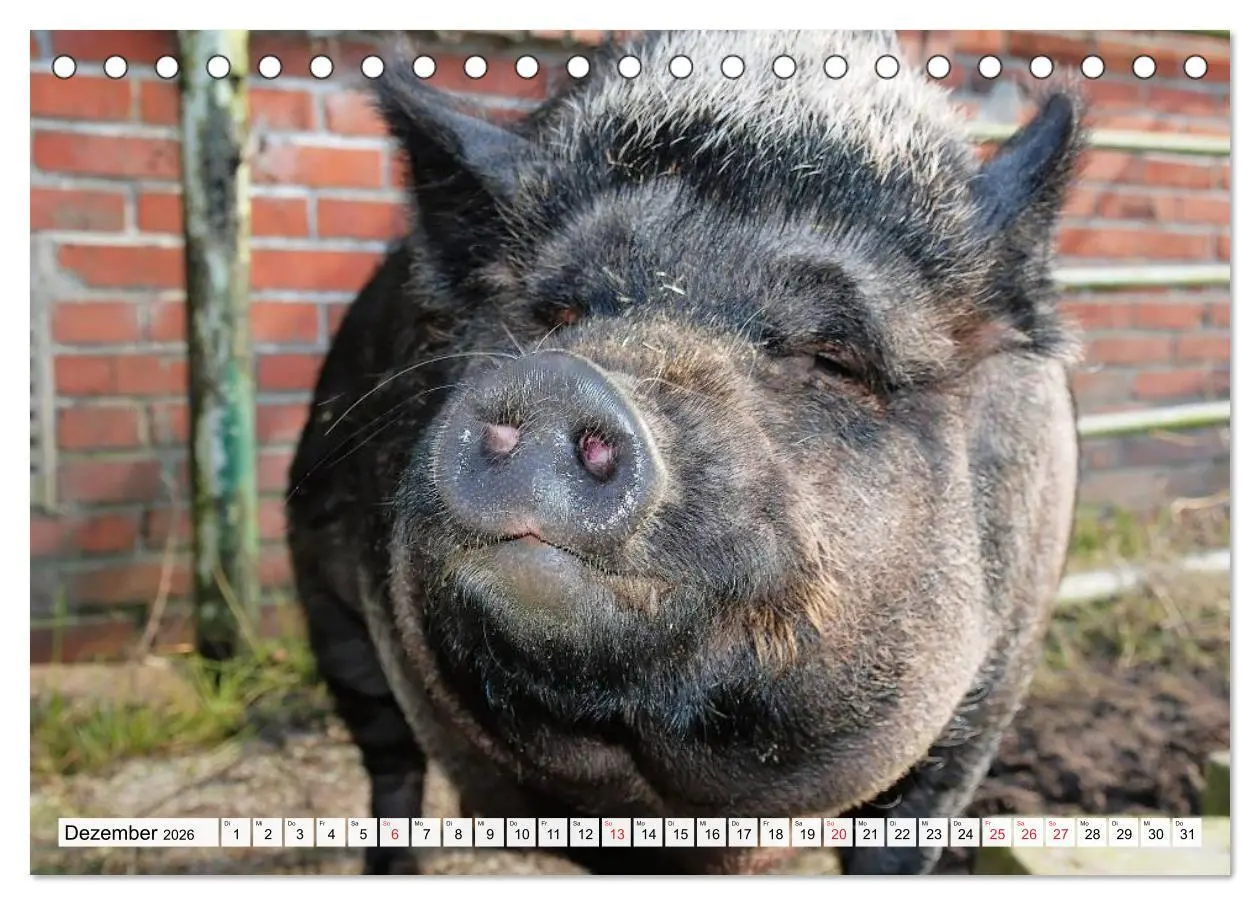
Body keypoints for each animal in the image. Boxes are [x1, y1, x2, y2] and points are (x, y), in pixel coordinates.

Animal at [285, 29, 1085, 875]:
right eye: (556, 314)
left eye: (835, 358)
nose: (560, 380)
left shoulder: (984, 704)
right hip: (326, 603)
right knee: (388, 757)